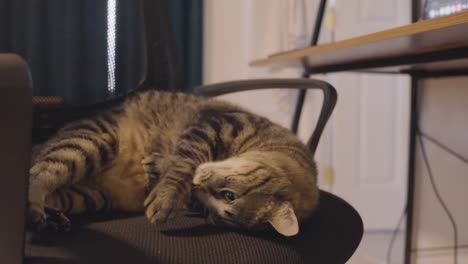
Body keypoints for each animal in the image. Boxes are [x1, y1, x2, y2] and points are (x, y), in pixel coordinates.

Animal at [27, 89, 320, 236]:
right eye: (230, 195)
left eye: (209, 214)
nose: (198, 188)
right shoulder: (212, 124)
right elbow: (184, 163)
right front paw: (165, 194)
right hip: (91, 142)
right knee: (38, 173)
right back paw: (37, 209)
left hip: (91, 196)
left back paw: (50, 217)